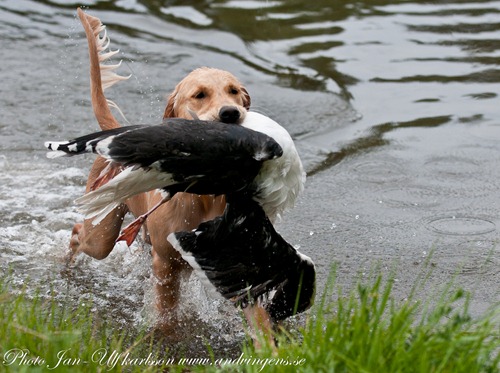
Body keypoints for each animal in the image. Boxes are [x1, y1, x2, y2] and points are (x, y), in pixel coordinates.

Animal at [69, 7, 276, 342]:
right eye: (200, 95)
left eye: (233, 91)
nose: (231, 113)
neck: (206, 197)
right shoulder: (166, 265)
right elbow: (167, 316)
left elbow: (260, 320)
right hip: (101, 234)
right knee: (77, 233)